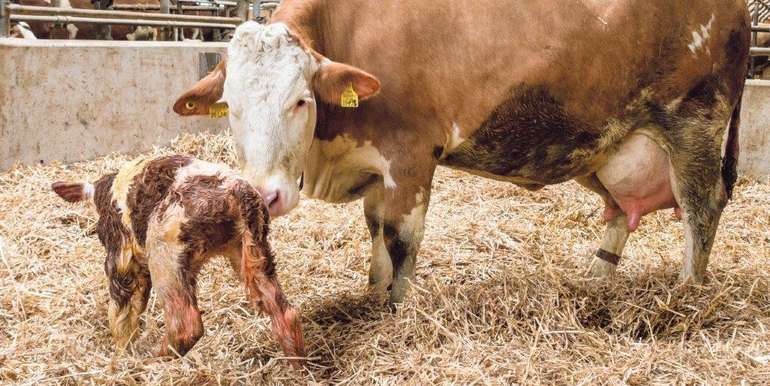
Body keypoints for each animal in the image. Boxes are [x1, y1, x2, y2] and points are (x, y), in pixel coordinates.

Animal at [48, 155, 304, 366]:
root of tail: (235, 191)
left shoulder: (121, 254)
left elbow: (121, 311)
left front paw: (120, 357)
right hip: (252, 248)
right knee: (284, 312)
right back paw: (296, 367)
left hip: (165, 255)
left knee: (185, 326)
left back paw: (150, 359)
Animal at [172, 1, 752, 306]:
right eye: (230, 106)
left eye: (300, 100)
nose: (263, 195)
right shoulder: (377, 170)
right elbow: (375, 236)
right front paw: (373, 295)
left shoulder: (410, 157)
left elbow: (400, 241)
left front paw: (396, 310)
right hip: (606, 145)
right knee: (618, 214)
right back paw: (595, 281)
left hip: (695, 123)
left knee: (701, 212)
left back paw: (688, 294)